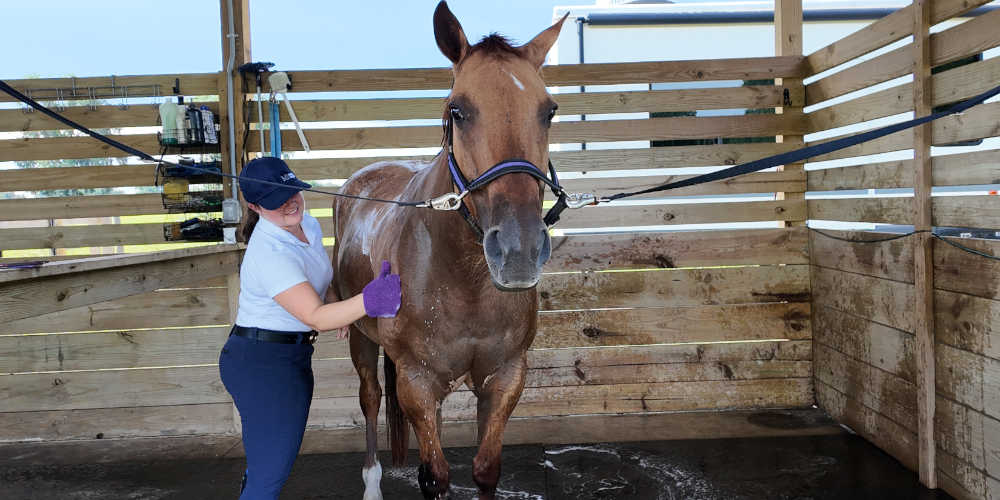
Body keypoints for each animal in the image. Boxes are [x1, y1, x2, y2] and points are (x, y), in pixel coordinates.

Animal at [331, 2, 567, 498]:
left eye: (549, 111)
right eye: (458, 110)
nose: (517, 249)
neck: (463, 276)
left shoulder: (504, 378)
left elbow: (485, 469)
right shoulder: (416, 380)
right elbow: (434, 476)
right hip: (363, 342)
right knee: (370, 400)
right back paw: (371, 483)